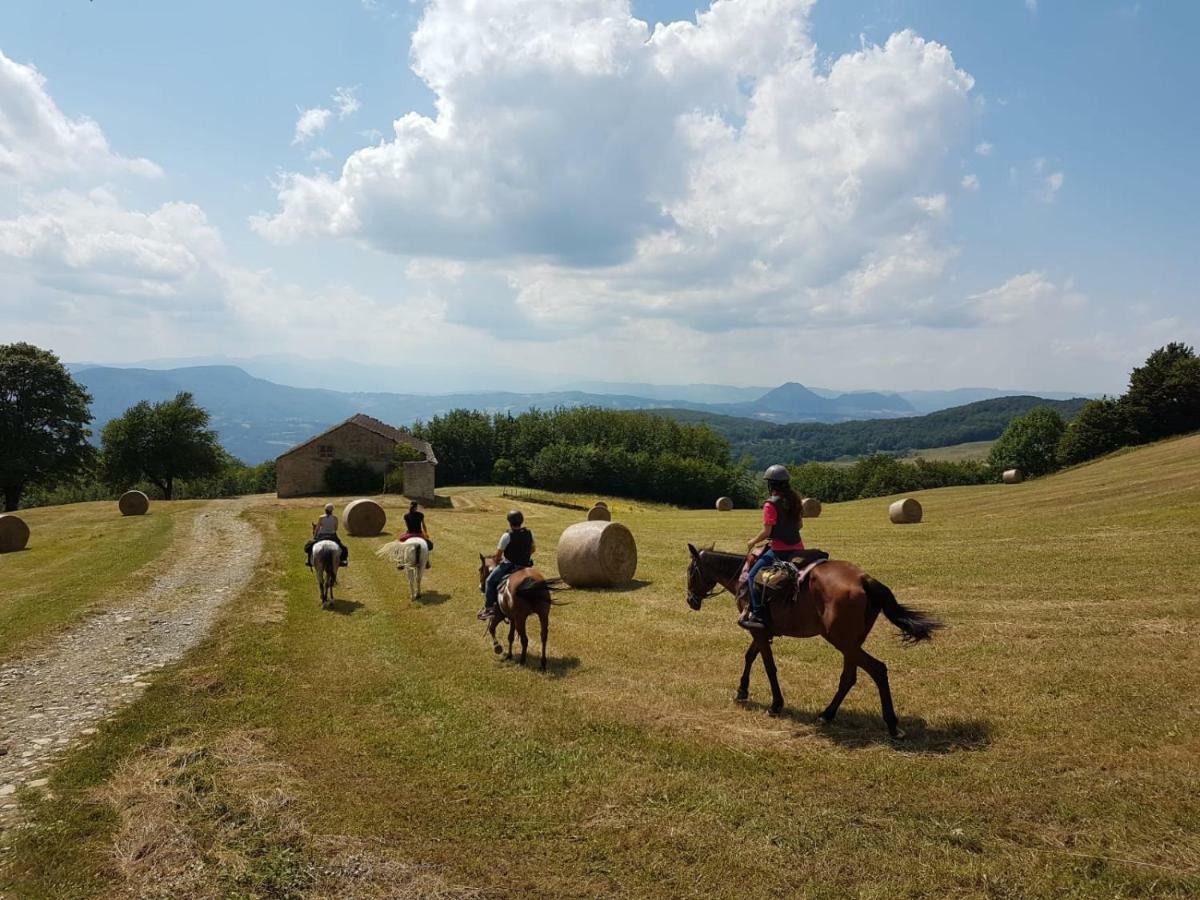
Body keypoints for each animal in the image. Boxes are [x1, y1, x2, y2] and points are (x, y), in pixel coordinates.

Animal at [686, 547, 936, 734]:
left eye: (690, 571)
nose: (690, 600)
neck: (743, 577)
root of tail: (864, 579)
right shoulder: (762, 632)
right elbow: (749, 657)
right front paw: (742, 691)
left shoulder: (758, 631)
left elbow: (768, 666)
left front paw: (776, 704)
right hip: (851, 643)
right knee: (849, 677)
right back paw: (827, 714)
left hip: (842, 640)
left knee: (877, 669)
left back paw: (892, 725)